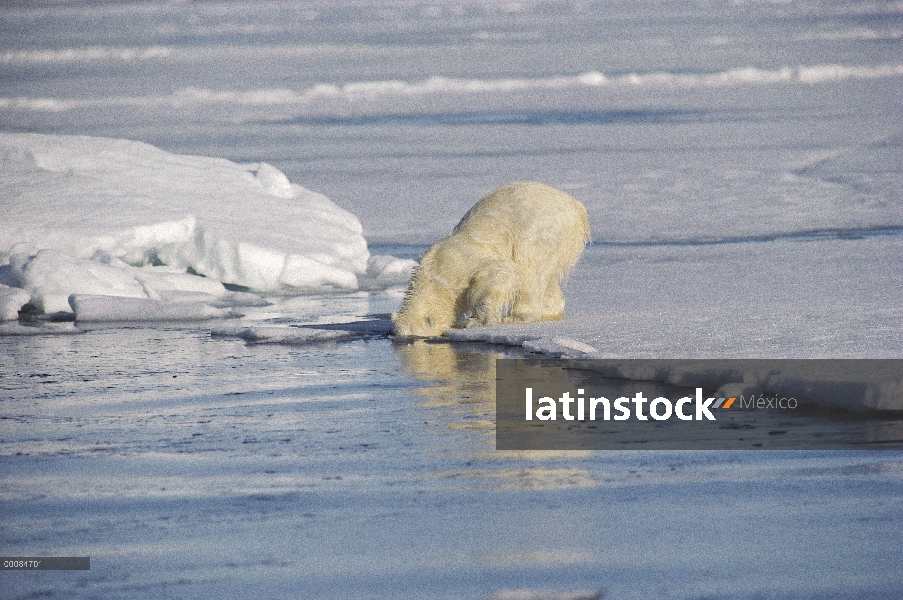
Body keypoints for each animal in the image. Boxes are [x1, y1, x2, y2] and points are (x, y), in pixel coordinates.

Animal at [392, 178, 588, 338]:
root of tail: (577, 208)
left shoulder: (462, 263)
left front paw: (474, 322)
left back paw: (516, 316)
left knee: (531, 273)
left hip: (543, 233)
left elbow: (500, 273)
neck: (433, 274)